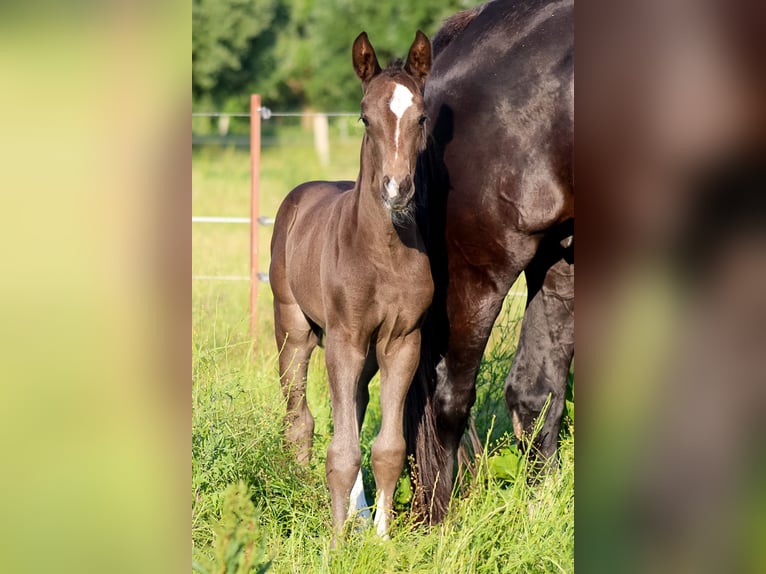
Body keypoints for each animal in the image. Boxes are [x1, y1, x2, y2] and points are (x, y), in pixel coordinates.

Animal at [272, 31, 436, 540]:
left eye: (422, 116)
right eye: (365, 116)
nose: (397, 189)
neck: (383, 252)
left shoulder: (402, 340)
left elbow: (387, 447)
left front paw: (380, 536)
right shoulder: (344, 339)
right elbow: (341, 448)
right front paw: (337, 541)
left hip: (363, 351)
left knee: (356, 407)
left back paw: (360, 514)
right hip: (294, 329)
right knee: (300, 415)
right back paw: (300, 483)